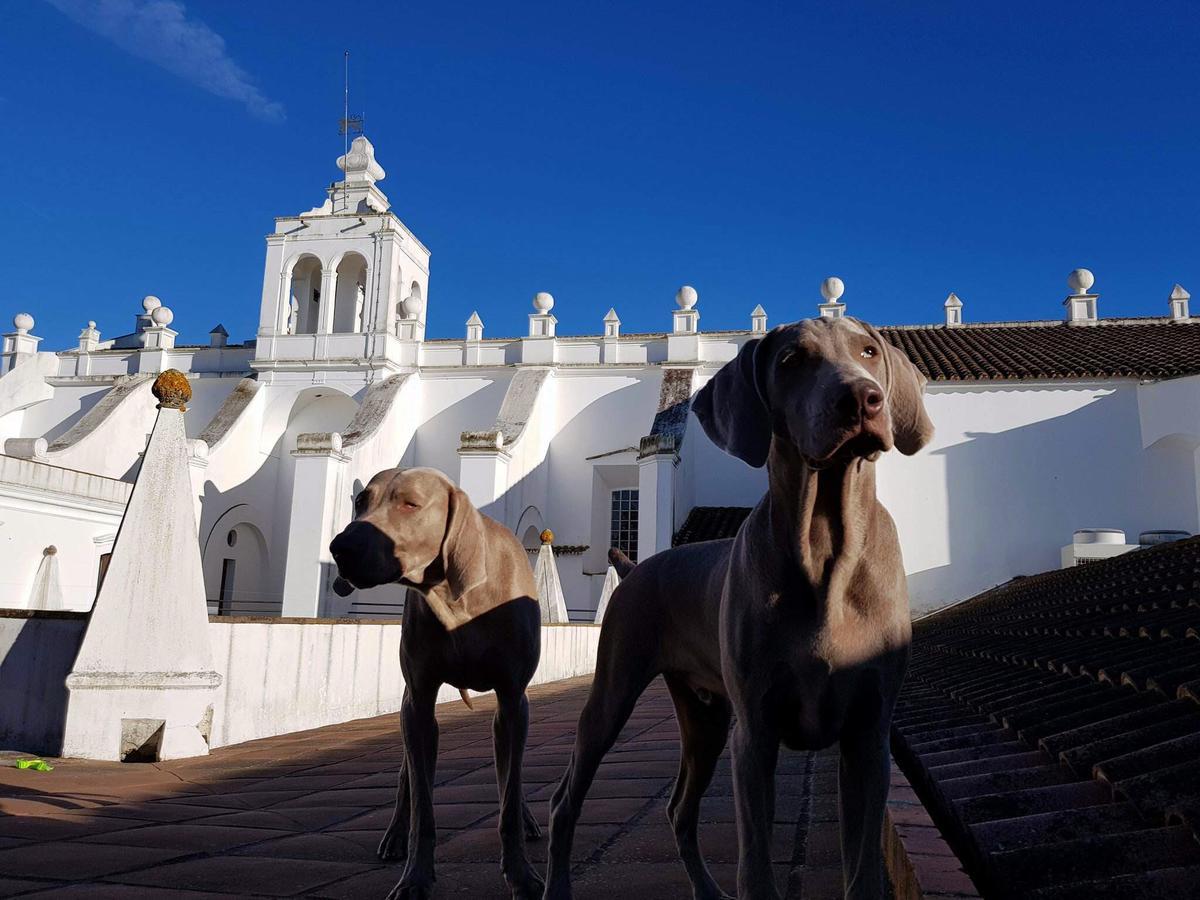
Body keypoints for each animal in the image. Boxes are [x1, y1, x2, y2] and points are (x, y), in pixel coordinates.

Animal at [333, 472, 549, 900]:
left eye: (410, 504)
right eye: (361, 502)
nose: (339, 548)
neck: (454, 597)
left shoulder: (513, 699)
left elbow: (509, 792)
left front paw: (521, 875)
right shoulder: (419, 701)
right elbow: (423, 804)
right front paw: (414, 878)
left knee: (510, 775)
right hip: (409, 707)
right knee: (408, 775)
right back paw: (395, 834)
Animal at [547, 319, 936, 900]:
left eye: (869, 351)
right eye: (791, 360)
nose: (863, 398)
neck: (826, 549)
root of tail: (634, 566)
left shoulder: (868, 736)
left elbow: (863, 867)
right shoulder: (755, 733)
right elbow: (756, 866)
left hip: (705, 717)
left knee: (679, 809)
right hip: (614, 696)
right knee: (564, 800)